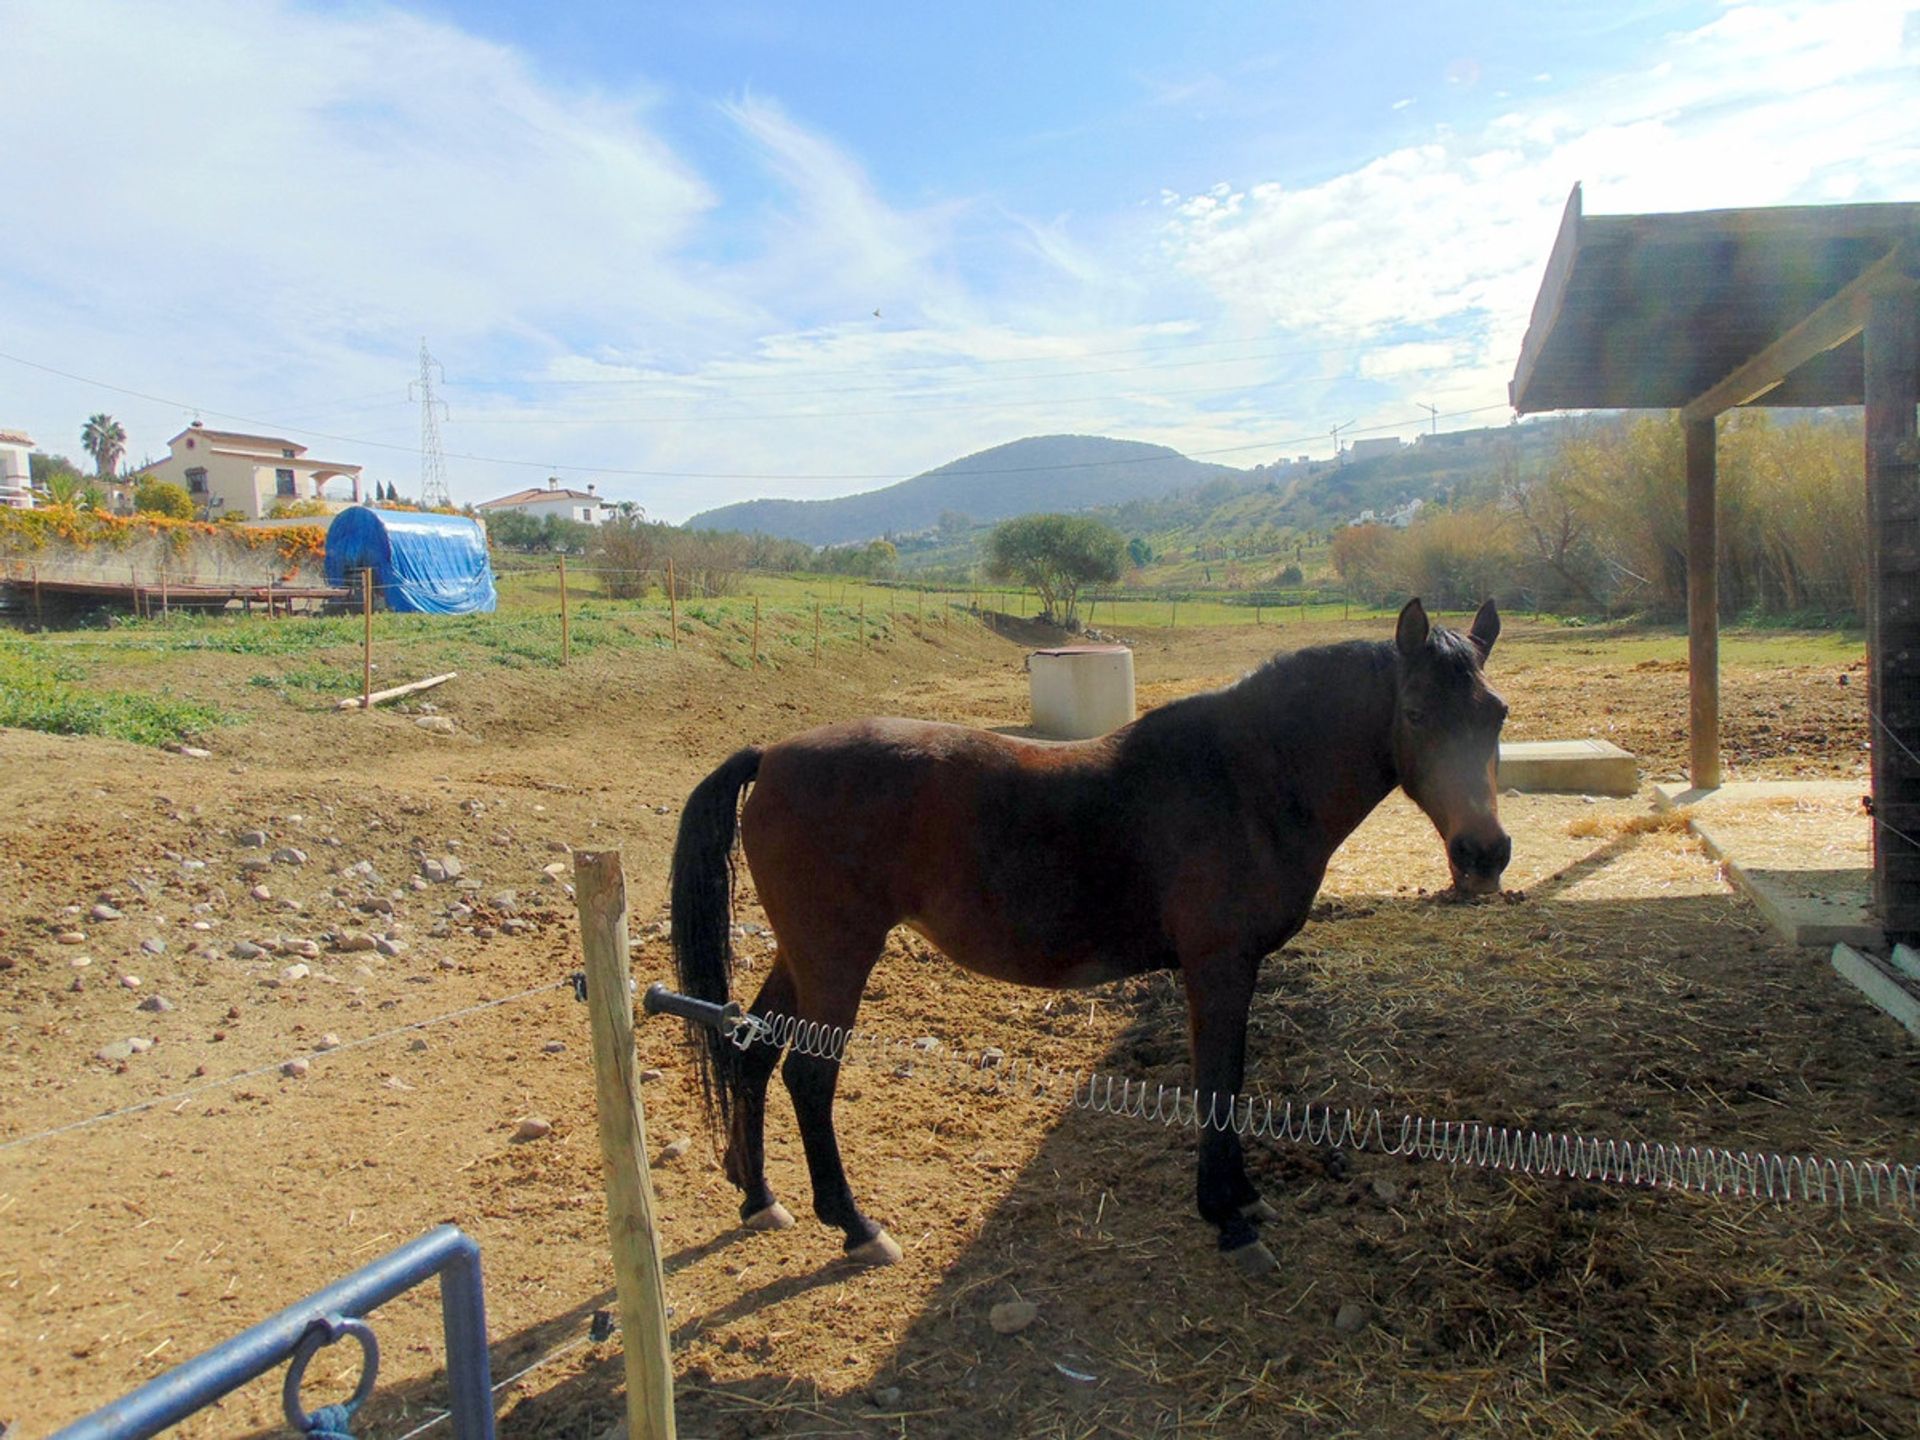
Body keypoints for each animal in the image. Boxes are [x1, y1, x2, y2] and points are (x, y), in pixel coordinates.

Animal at [668, 599, 1505, 1274]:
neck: (1246, 780)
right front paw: (1228, 1218)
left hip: (803, 955)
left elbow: (1229, 1083)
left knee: (752, 1050)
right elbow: (1217, 1085)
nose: (1485, 853)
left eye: (1494, 715)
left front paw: (1241, 1199)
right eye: (1418, 712)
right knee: (809, 1078)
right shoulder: (1217, 967)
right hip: (838, 956)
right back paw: (855, 1227)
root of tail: (772, 756)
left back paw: (759, 1197)